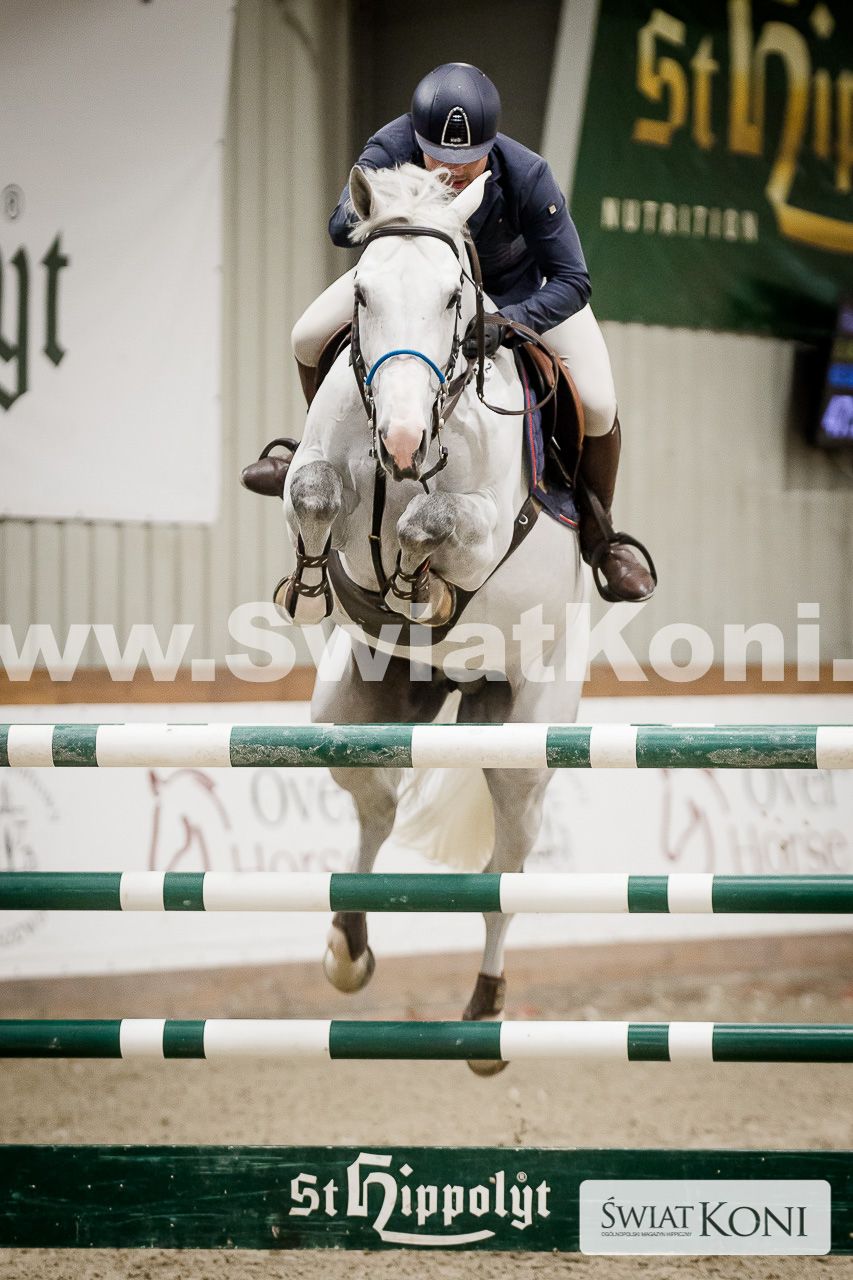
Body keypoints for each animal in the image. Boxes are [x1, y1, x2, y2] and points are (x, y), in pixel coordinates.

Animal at [279, 163, 589, 1072]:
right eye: (362, 292)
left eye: (456, 296)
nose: (406, 439)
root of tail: (461, 686)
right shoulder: (319, 472)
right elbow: (317, 491)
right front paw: (314, 582)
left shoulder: (483, 532)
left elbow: (432, 522)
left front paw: (423, 583)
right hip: (350, 713)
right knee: (376, 806)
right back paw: (348, 950)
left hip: (523, 743)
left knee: (503, 879)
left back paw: (484, 1016)